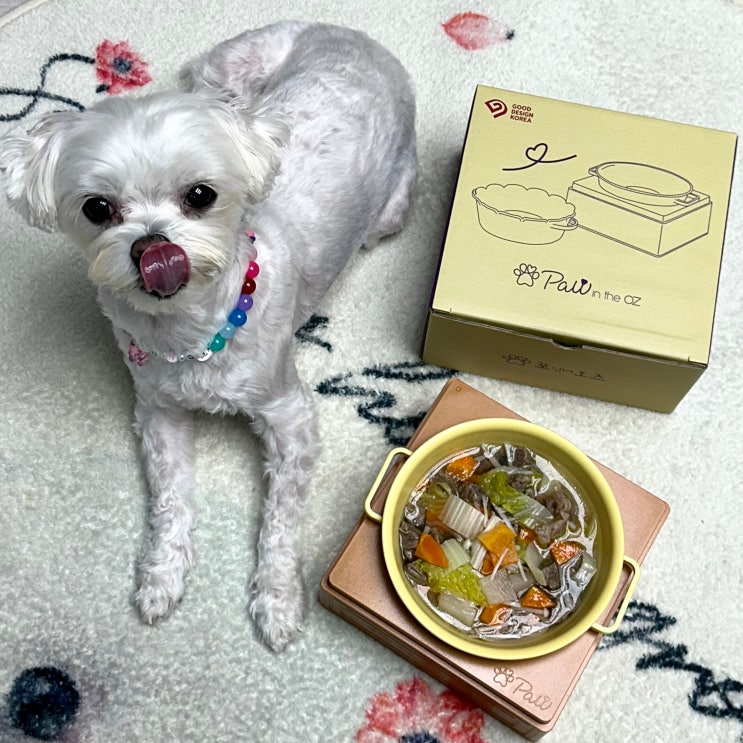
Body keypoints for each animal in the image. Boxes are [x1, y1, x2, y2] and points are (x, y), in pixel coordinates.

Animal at [0, 21, 417, 651]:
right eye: (97, 207)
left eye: (200, 195)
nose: (153, 248)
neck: (189, 333)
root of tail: (352, 34)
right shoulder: (158, 412)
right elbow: (169, 501)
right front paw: (161, 577)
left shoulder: (290, 417)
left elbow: (280, 522)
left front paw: (277, 601)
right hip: (221, 72)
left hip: (388, 213)